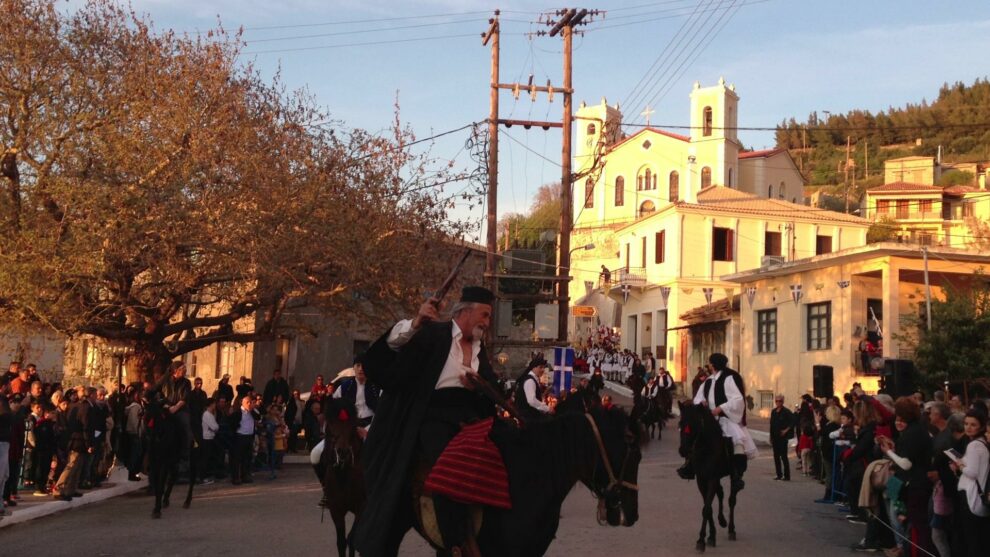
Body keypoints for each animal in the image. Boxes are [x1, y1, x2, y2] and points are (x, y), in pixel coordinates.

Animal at [312, 398, 366, 552]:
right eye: (331, 424)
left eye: (352, 425)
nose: (342, 452)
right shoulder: (336, 510)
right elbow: (341, 542)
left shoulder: (360, 508)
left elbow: (352, 539)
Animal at [680, 400, 740, 552]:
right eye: (680, 423)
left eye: (695, 424)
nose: (683, 451)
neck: (706, 450)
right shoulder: (702, 480)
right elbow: (708, 507)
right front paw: (711, 536)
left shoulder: (712, 478)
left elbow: (706, 509)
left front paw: (701, 540)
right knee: (721, 493)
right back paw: (722, 520)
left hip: (733, 476)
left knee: (732, 500)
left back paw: (731, 529)